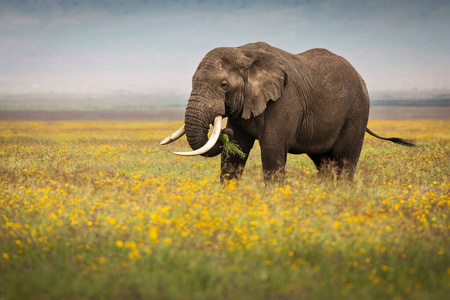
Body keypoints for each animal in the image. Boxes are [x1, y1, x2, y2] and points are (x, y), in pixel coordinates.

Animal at [160, 41, 414, 182]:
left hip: (357, 112)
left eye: (223, 85)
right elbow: (234, 155)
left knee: (344, 161)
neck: (242, 52)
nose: (224, 131)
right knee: (325, 163)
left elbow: (272, 149)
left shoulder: (284, 100)